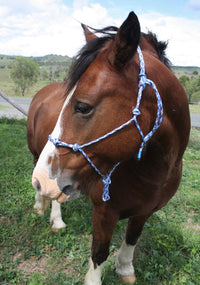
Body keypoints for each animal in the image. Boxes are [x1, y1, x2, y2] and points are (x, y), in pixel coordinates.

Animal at [28, 11, 191, 284]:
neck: (153, 172)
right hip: (36, 156)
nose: (41, 179)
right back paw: (49, 212)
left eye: (82, 107)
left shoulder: (145, 211)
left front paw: (125, 269)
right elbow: (99, 252)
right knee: (52, 196)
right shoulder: (105, 212)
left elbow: (132, 238)